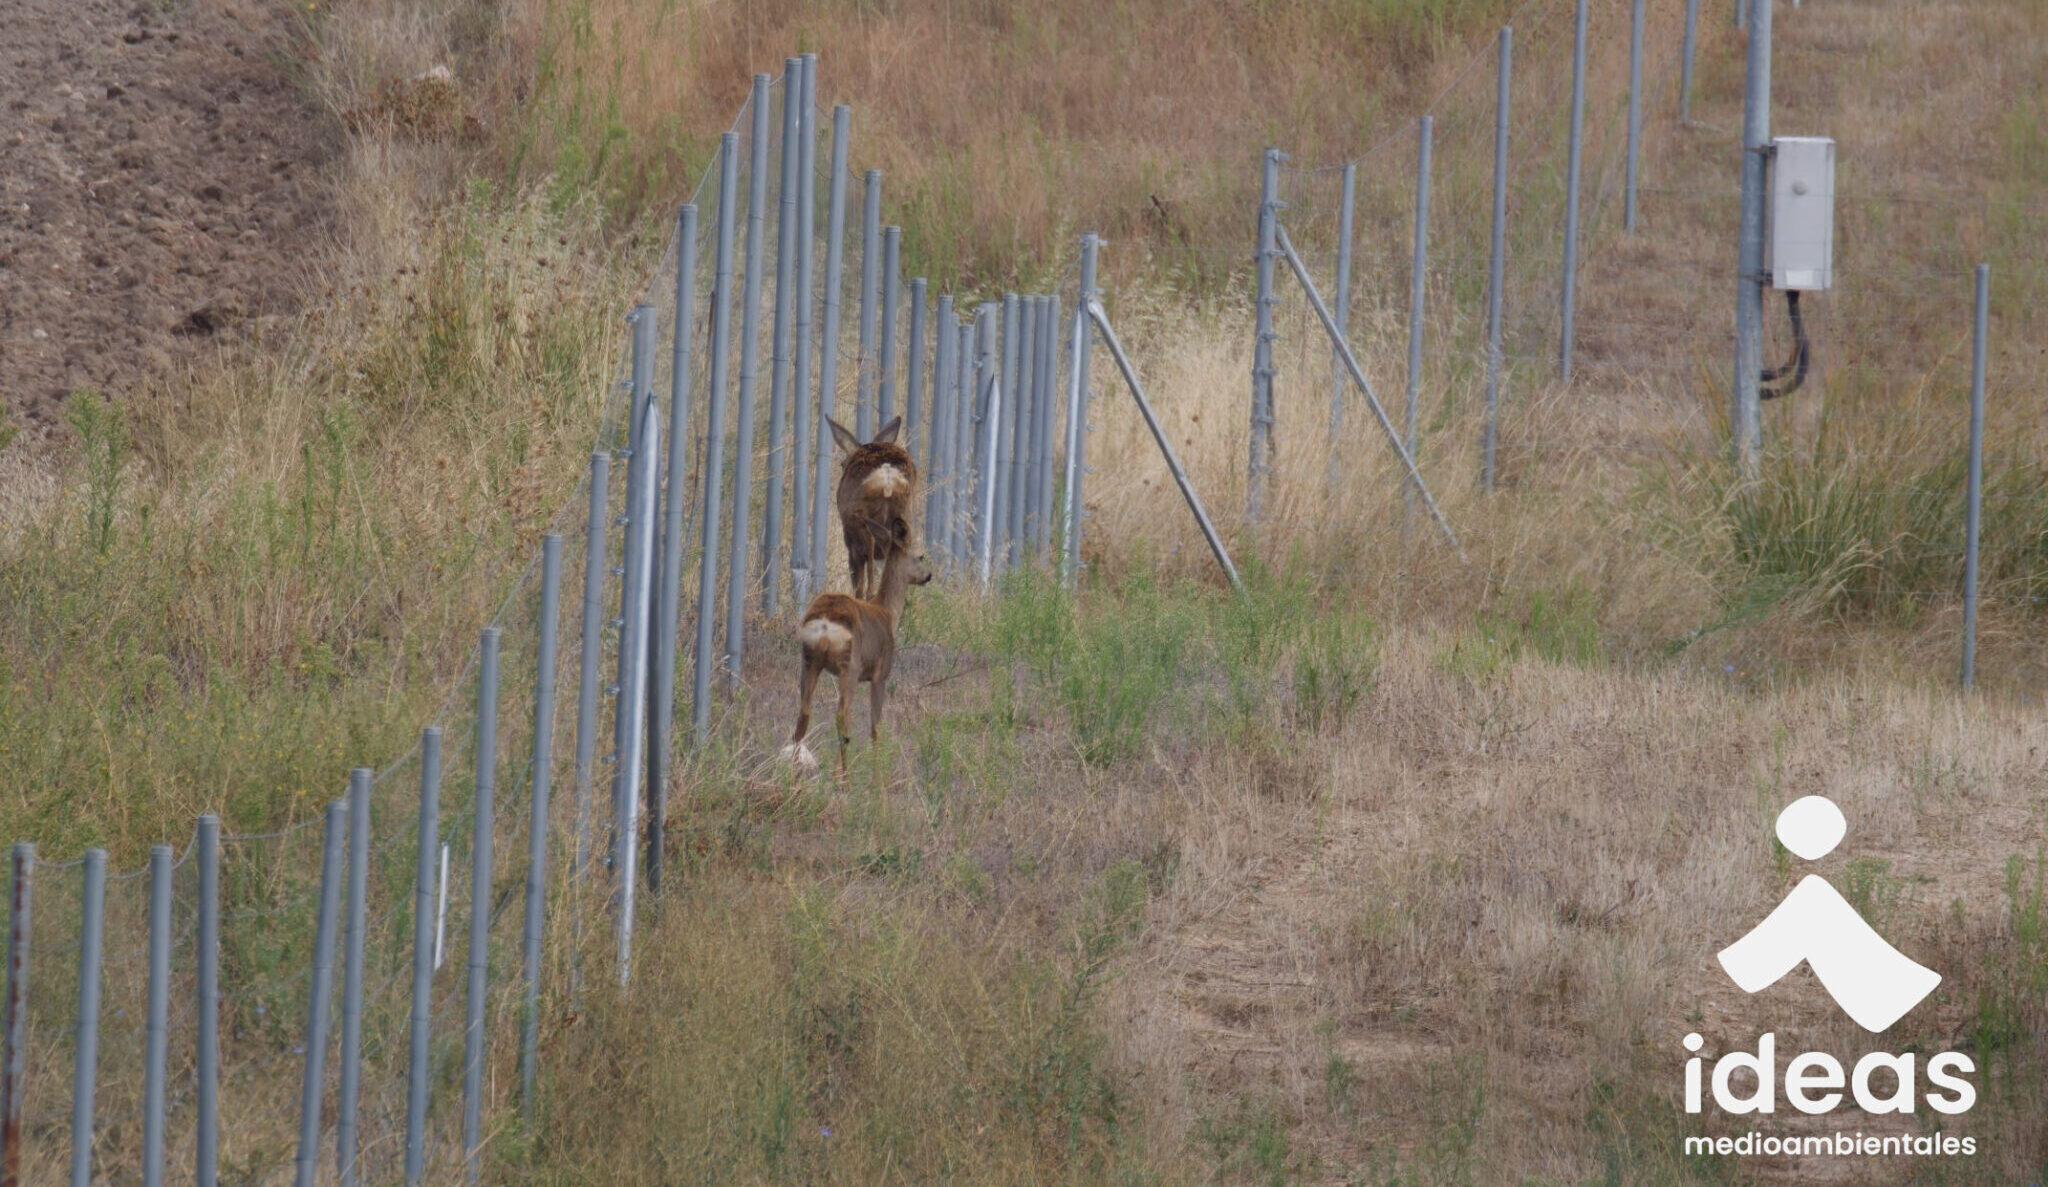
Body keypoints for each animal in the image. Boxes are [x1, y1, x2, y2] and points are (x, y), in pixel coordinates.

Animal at [778, 513, 933, 773]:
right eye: (919, 556)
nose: (928, 575)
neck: (887, 612)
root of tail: (825, 623)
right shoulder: (880, 674)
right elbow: (875, 727)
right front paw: (878, 770)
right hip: (849, 665)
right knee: (842, 717)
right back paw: (844, 775)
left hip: (809, 661)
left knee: (803, 716)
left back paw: (796, 774)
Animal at [835, 417, 925, 601]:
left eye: (842, 463)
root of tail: (887, 474)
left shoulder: (851, 545)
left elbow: (857, 583)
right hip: (904, 515)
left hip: (863, 522)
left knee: (868, 577)